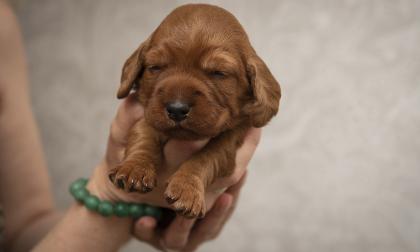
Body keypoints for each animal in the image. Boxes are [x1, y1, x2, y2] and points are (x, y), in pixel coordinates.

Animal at [108, 2, 280, 218]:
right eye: (155, 67)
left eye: (218, 73)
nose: (177, 109)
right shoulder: (146, 113)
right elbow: (143, 133)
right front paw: (135, 168)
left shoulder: (232, 136)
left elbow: (207, 157)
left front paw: (186, 188)